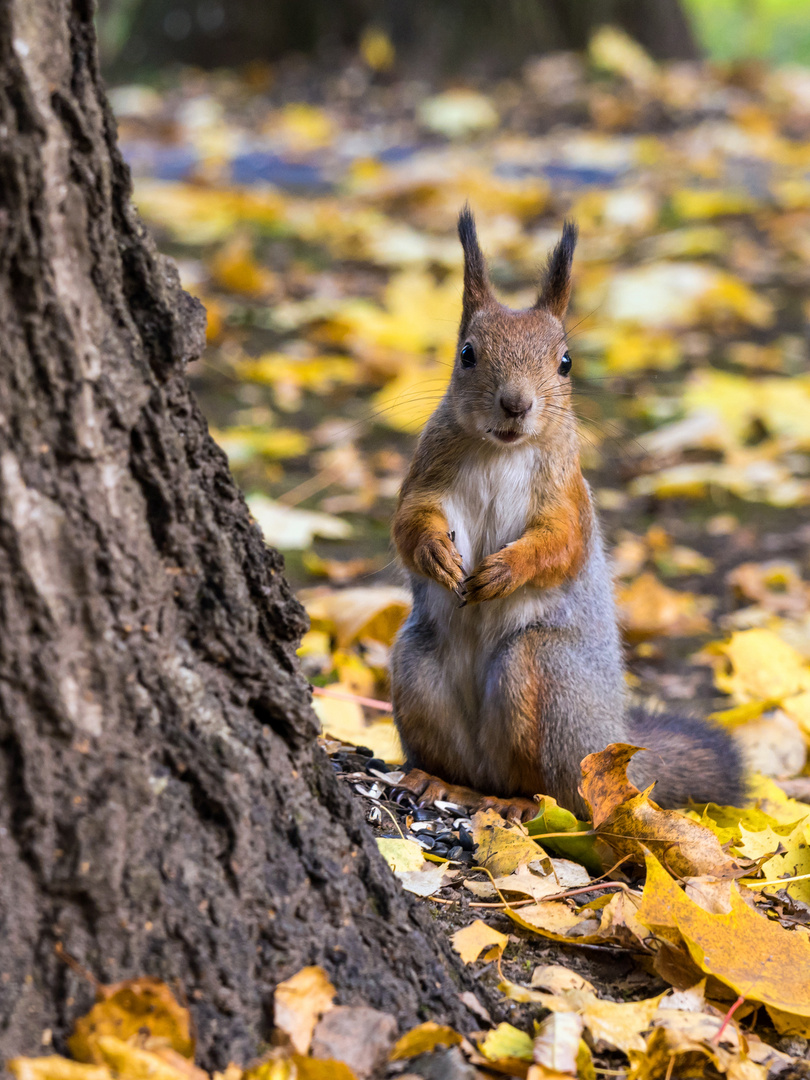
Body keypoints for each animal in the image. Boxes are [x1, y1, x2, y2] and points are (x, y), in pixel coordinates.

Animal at [390, 206, 751, 820]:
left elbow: (560, 544)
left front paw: (505, 570)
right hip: (416, 669)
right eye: (467, 353)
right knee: (461, 763)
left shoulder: (568, 496)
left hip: (544, 678)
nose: (516, 404)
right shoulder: (425, 476)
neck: (500, 450)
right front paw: (437, 553)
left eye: (565, 362)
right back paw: (435, 781)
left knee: (553, 790)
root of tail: (613, 747)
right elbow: (406, 523)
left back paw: (517, 804)